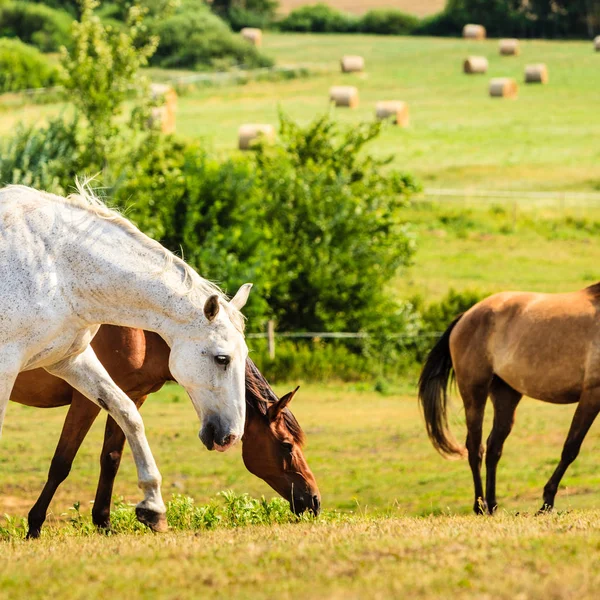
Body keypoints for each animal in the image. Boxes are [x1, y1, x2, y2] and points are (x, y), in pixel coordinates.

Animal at [0, 182, 251, 528]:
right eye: (222, 358)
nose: (230, 436)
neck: (55, 266)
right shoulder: (7, 366)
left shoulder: (69, 359)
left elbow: (126, 412)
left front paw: (153, 505)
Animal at [8, 324, 318, 540]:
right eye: (287, 445)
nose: (314, 500)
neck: (145, 334)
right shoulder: (87, 400)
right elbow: (61, 464)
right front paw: (34, 526)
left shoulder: (131, 398)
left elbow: (111, 460)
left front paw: (103, 523)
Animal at [420, 284, 600, 512]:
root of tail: (466, 316)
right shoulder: (592, 393)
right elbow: (570, 448)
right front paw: (546, 503)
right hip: (474, 393)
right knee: (475, 447)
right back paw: (480, 506)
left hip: (506, 395)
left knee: (494, 447)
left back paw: (492, 505)